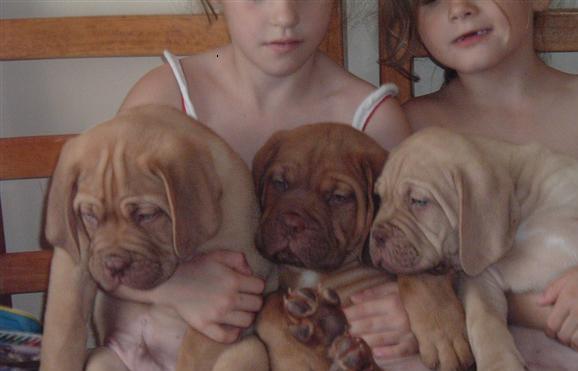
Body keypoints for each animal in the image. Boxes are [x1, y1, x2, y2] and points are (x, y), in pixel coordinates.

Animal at [41, 104, 274, 371]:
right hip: (102, 358)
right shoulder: (74, 261)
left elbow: (195, 351)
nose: (114, 265)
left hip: (249, 351)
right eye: (89, 216)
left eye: (146, 215)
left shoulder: (238, 284)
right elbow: (62, 335)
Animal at [251, 124, 468, 371]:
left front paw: (443, 331)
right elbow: (268, 306)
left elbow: (417, 272)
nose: (291, 223)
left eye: (338, 197)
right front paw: (298, 357)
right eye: (279, 182)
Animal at [366, 127, 576, 371]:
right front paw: (499, 363)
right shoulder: (482, 278)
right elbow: (483, 320)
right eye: (379, 198)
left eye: (419, 201)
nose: (376, 236)